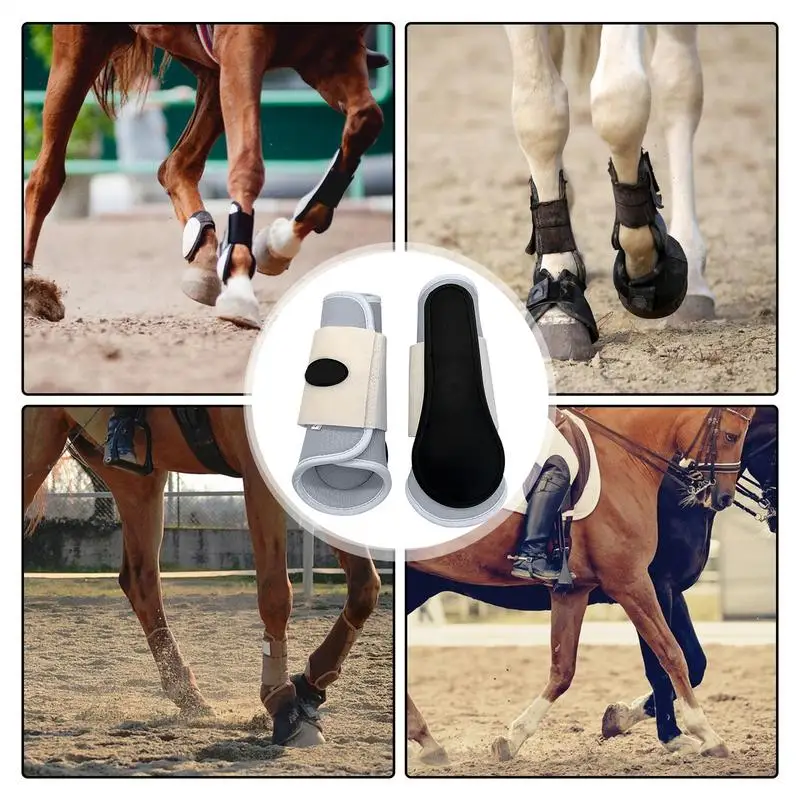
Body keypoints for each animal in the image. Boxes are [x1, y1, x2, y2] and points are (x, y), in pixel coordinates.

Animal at [23, 406, 382, 747]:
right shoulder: (257, 471)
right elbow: (276, 593)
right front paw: (283, 704)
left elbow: (365, 586)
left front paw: (307, 687)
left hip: (136, 478)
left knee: (140, 580)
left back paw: (190, 697)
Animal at [24, 24, 387, 328]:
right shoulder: (244, 45)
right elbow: (248, 164)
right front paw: (239, 284)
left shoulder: (331, 51)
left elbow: (367, 120)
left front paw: (278, 243)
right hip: (82, 43)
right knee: (46, 174)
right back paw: (30, 286)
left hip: (208, 66)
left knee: (176, 167)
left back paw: (205, 259)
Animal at [406, 406, 756, 764]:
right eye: (732, 436)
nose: (722, 496)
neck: (623, 456)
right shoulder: (634, 582)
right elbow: (671, 656)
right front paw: (703, 734)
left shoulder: (574, 591)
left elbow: (563, 670)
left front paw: (513, 738)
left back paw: (428, 741)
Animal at [506, 25, 709, 361]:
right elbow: (538, 113)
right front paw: (557, 306)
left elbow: (620, 102)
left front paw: (645, 266)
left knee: (678, 82)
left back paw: (694, 276)